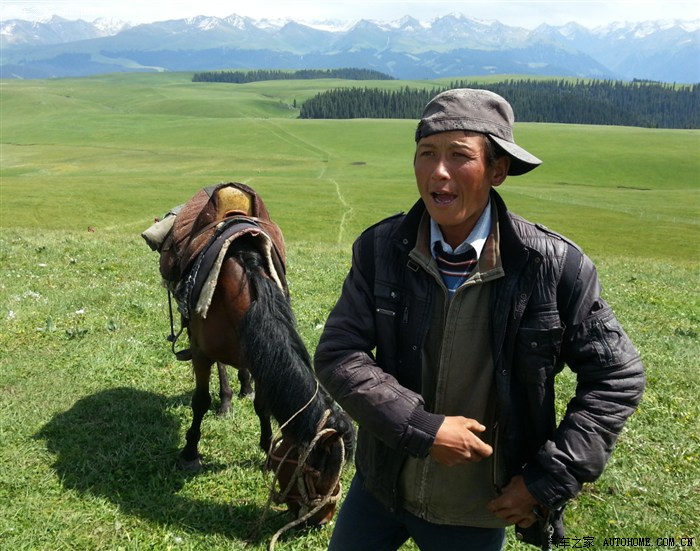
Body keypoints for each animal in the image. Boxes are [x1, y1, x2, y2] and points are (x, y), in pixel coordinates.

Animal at [147, 184, 356, 528]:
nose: (322, 519)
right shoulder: (201, 353)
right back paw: (227, 400)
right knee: (220, 368)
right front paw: (190, 453)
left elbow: (263, 404)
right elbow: (200, 401)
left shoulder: (260, 350)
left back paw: (243, 388)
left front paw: (265, 447)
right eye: (312, 472)